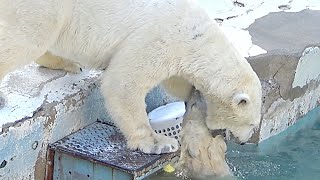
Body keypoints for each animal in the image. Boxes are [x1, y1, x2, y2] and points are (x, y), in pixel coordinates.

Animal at [0, 0, 262, 154]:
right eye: (251, 124)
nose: (242, 142)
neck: (198, 39)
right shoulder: (161, 38)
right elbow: (123, 84)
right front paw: (159, 143)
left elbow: (176, 82)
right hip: (43, 8)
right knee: (29, 37)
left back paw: (69, 63)